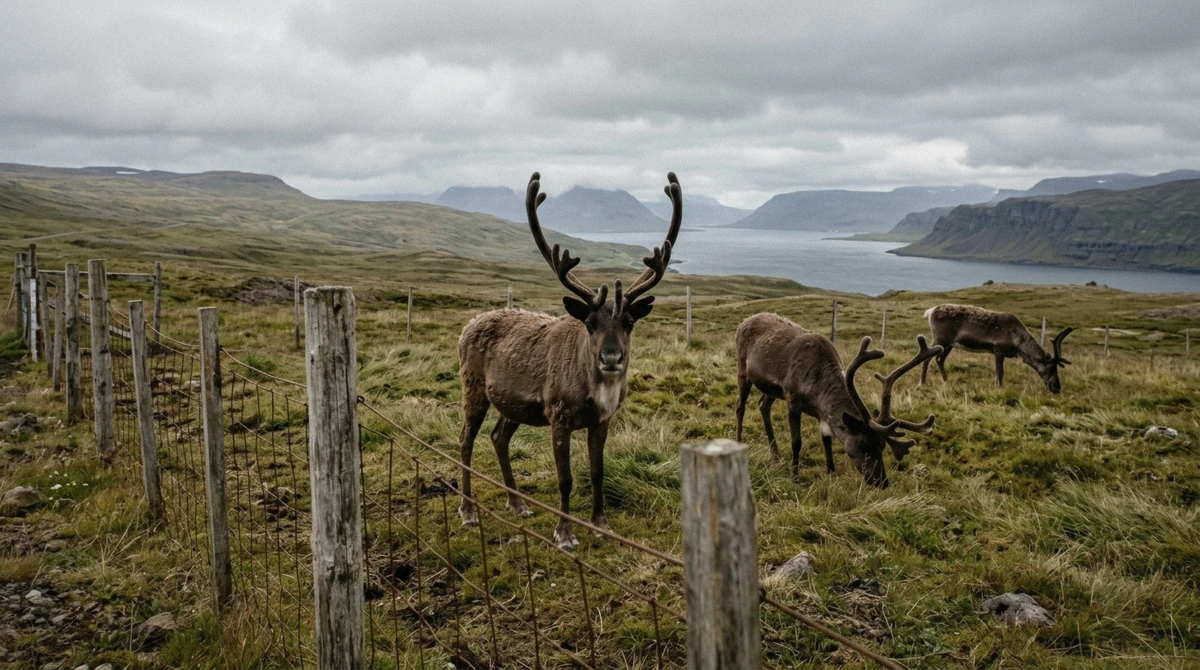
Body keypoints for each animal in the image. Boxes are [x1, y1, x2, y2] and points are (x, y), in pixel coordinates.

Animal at [456, 171, 682, 550]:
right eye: (589, 323)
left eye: (629, 322)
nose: (611, 357)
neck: (596, 389)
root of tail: (468, 325)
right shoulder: (559, 416)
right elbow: (566, 479)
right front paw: (564, 533)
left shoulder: (602, 420)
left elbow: (597, 471)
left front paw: (601, 524)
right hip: (473, 390)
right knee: (465, 441)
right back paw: (468, 510)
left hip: (513, 405)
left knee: (498, 438)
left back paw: (517, 503)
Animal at [734, 312, 942, 488]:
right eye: (863, 445)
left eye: (882, 446)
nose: (881, 482)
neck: (817, 391)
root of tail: (744, 320)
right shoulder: (792, 399)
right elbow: (797, 442)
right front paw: (795, 478)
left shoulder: (822, 413)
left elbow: (826, 440)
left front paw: (831, 472)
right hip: (743, 369)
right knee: (740, 407)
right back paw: (738, 441)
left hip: (772, 389)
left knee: (763, 405)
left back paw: (775, 454)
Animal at [920, 304, 1073, 393]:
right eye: (1051, 367)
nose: (1057, 388)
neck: (1018, 342)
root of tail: (930, 311)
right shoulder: (999, 350)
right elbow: (1000, 373)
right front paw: (999, 389)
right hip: (940, 339)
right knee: (927, 358)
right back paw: (922, 383)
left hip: (949, 344)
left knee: (940, 360)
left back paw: (945, 381)